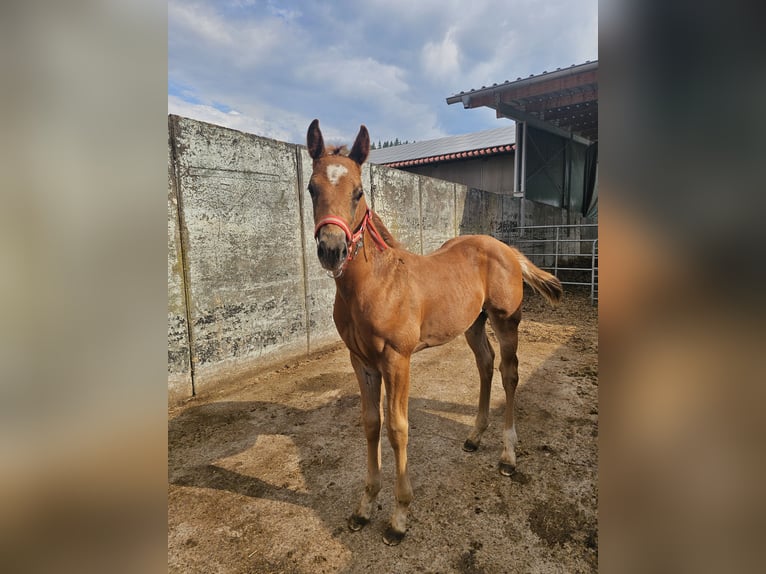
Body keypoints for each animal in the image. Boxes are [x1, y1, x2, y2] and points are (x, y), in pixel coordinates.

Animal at [305, 119, 563, 545]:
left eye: (358, 192)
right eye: (312, 188)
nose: (332, 249)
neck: (375, 284)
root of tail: (506, 249)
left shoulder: (397, 360)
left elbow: (397, 428)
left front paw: (399, 516)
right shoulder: (361, 361)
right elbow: (370, 423)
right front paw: (364, 506)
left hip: (506, 320)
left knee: (509, 373)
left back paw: (508, 454)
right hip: (473, 323)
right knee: (486, 365)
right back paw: (475, 436)